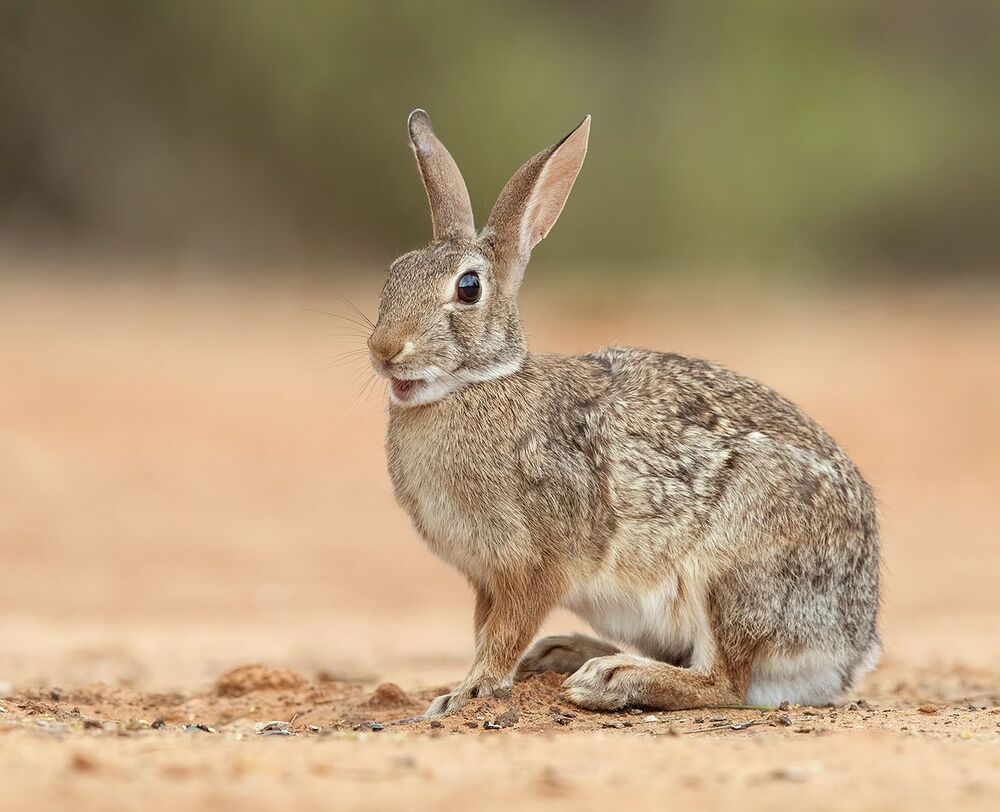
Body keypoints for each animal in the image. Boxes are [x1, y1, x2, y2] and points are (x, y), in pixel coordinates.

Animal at [367, 109, 881, 717]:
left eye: (468, 288)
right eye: (395, 271)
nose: (383, 349)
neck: (476, 385)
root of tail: (849, 647)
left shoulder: (534, 566)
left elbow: (501, 634)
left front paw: (465, 694)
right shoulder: (485, 578)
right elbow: (485, 630)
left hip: (733, 567)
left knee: (724, 682)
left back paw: (608, 679)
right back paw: (565, 653)